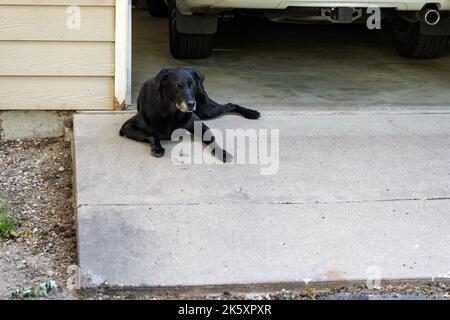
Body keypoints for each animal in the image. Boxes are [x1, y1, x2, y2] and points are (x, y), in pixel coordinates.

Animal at [119, 68, 260, 162]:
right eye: (178, 85)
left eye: (192, 84)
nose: (192, 104)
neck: (171, 113)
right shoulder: (127, 127)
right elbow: (152, 135)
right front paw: (157, 148)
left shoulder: (198, 124)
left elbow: (211, 138)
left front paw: (222, 152)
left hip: (206, 109)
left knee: (230, 105)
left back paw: (251, 113)